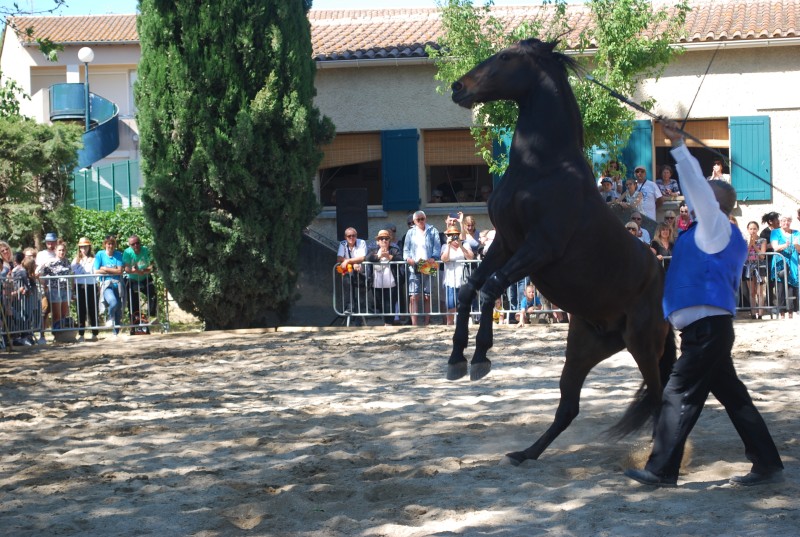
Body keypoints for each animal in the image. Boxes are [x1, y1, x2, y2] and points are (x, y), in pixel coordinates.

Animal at [450, 38, 676, 464]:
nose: (458, 87)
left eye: (506, 57)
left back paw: (659, 462)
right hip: (583, 349)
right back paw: (525, 453)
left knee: (657, 399)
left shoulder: (540, 246)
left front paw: (481, 358)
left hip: (642, 343)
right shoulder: (505, 242)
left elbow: (491, 287)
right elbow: (471, 288)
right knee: (568, 407)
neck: (542, 167)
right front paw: (456, 360)